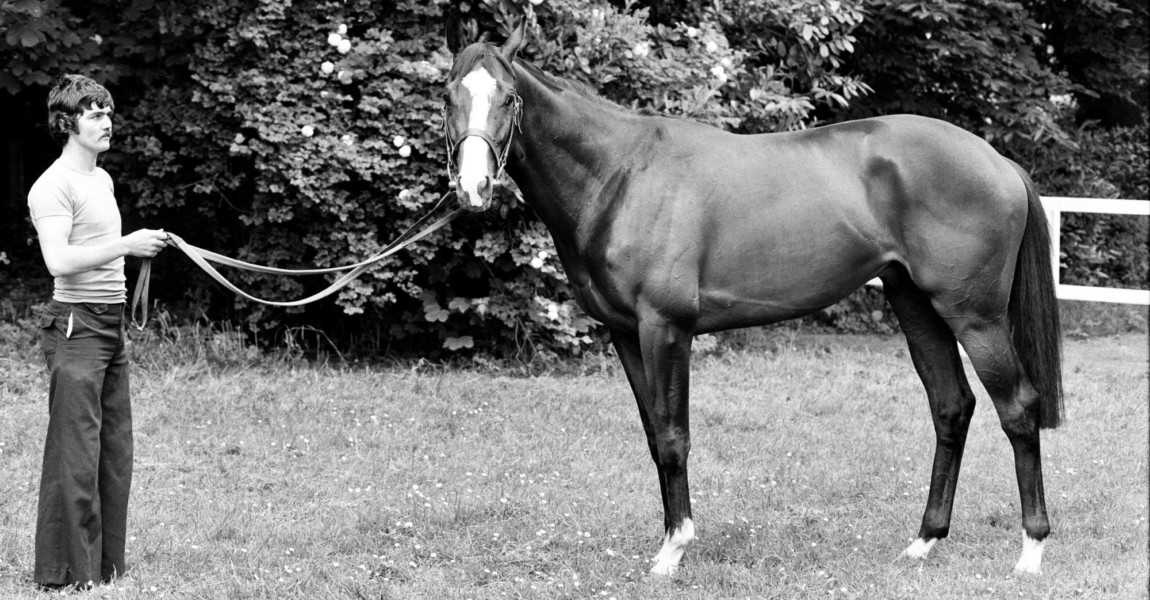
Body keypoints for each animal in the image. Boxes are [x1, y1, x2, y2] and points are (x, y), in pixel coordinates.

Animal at [437, 24, 1058, 574]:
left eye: (509, 98)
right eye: (448, 96)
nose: (472, 187)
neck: (621, 175)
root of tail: (997, 161)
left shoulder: (665, 329)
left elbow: (673, 437)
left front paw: (674, 551)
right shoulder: (626, 334)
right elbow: (653, 436)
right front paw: (668, 540)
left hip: (974, 316)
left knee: (1018, 408)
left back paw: (1031, 551)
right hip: (915, 304)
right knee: (951, 406)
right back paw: (924, 542)